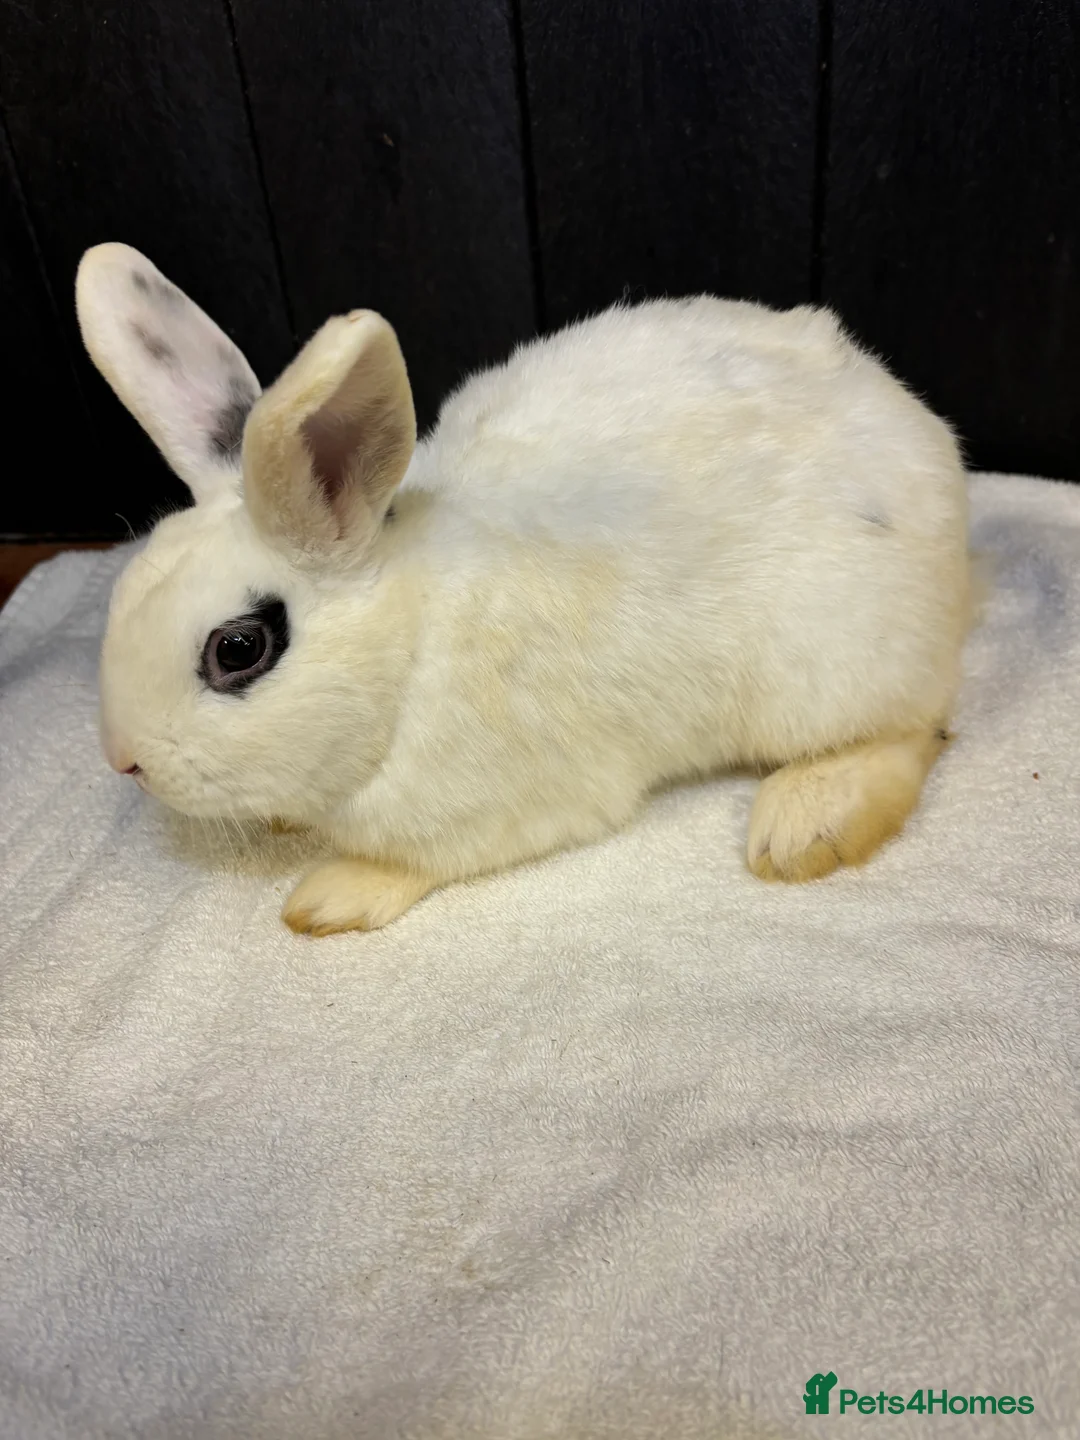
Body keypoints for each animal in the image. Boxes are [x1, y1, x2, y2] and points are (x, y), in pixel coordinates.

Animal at [76, 243, 971, 936]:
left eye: (238, 648)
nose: (124, 761)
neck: (410, 644)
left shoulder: (503, 807)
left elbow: (413, 862)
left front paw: (331, 896)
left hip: (829, 666)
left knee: (913, 731)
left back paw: (803, 828)